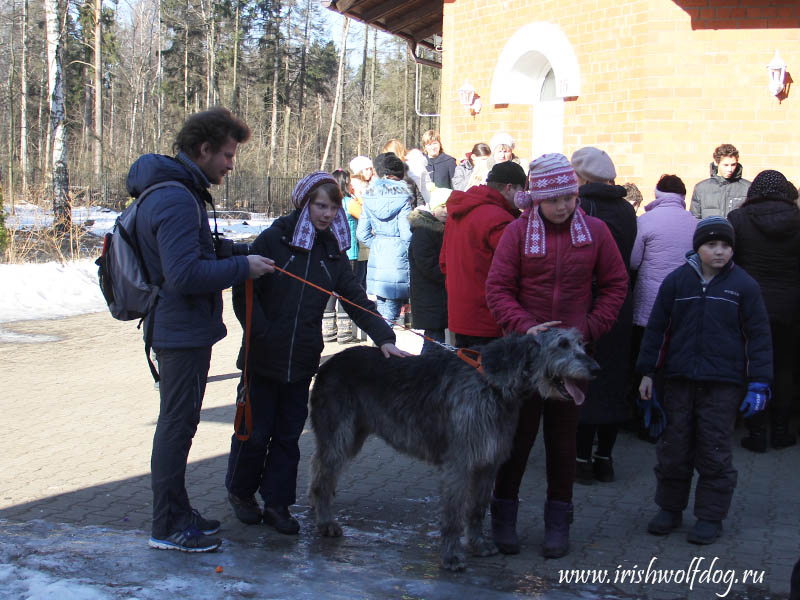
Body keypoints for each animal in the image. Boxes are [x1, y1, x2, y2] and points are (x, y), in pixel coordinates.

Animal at [310, 330, 596, 568]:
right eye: (562, 344)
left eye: (581, 342)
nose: (596, 368)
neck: (491, 382)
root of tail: (328, 363)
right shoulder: (459, 463)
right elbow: (453, 513)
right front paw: (451, 556)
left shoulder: (487, 462)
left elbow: (477, 508)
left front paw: (478, 544)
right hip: (339, 436)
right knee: (323, 475)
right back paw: (325, 521)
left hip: (352, 435)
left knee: (320, 469)